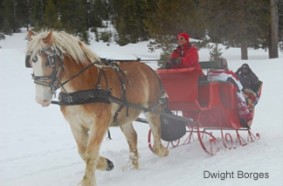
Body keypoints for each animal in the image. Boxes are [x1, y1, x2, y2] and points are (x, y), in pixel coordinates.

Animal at [25, 30, 169, 186]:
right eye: (31, 62)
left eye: (49, 61)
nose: (41, 99)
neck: (82, 89)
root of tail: (150, 70)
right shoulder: (75, 124)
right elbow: (82, 151)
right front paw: (106, 164)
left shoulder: (100, 122)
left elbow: (90, 152)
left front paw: (87, 181)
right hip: (124, 116)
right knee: (132, 137)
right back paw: (133, 166)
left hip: (152, 110)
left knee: (156, 134)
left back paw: (162, 152)